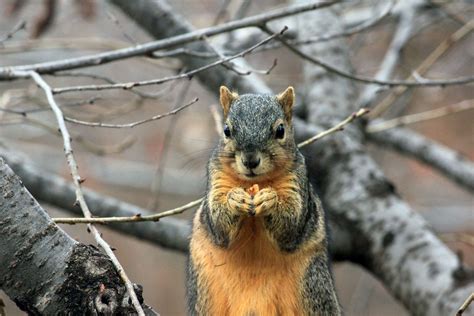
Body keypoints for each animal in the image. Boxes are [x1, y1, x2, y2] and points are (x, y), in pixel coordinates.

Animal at [186, 86, 340, 316]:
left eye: (280, 130)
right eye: (226, 130)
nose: (250, 161)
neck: (254, 183)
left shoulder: (297, 184)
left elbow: (291, 225)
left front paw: (270, 200)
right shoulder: (216, 179)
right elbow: (218, 225)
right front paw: (234, 199)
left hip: (312, 287)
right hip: (204, 294)